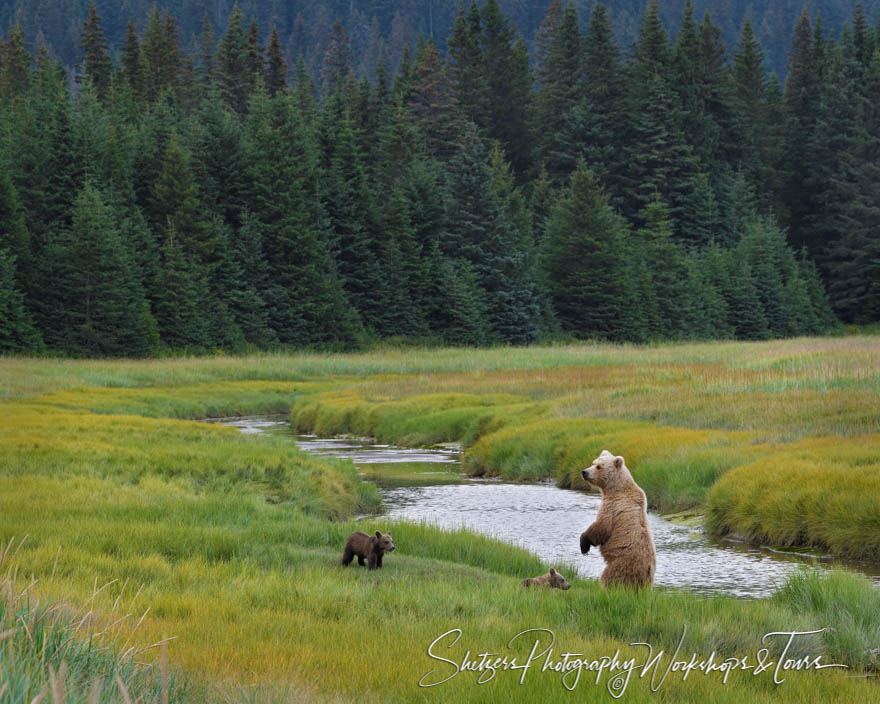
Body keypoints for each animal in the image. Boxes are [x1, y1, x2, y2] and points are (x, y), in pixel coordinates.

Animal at [576, 452, 652, 588]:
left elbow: (602, 526)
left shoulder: (613, 506)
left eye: (599, 467)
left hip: (621, 564)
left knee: (610, 577)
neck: (615, 488)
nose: (584, 472)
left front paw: (584, 544)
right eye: (593, 463)